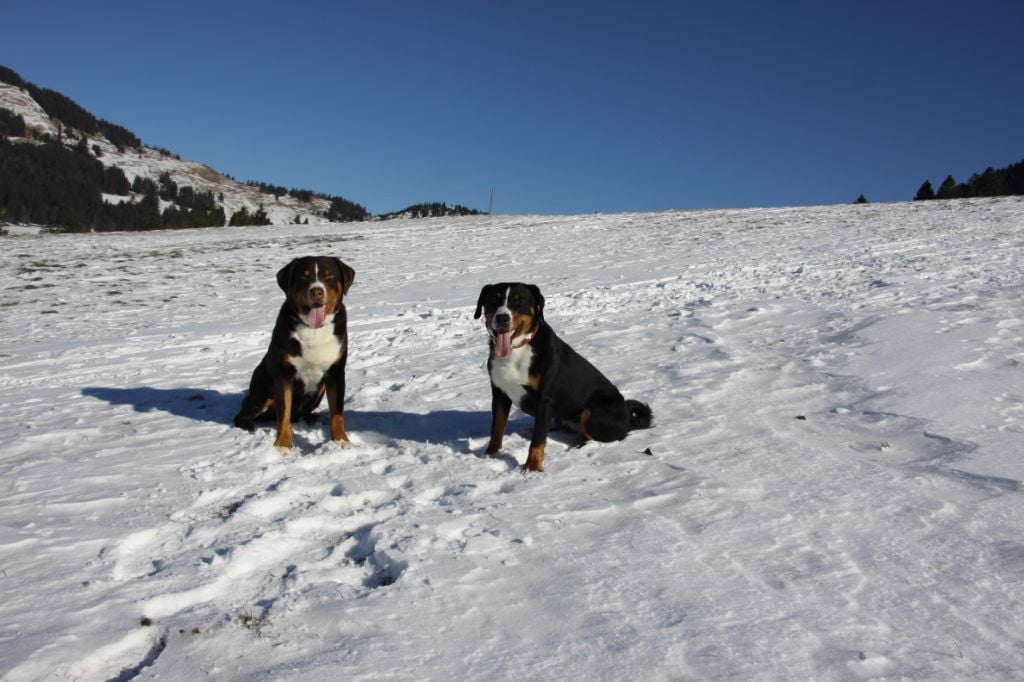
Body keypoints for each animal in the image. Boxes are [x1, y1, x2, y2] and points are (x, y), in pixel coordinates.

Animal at [234, 254, 356, 446]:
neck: (313, 330)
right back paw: (248, 425)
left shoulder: (336, 373)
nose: (316, 291)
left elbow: (337, 413)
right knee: (243, 414)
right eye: (304, 276)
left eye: (329, 275)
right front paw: (282, 445)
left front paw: (341, 441)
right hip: (262, 394)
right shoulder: (283, 376)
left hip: (319, 390)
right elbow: (283, 415)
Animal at [475, 280, 651, 466]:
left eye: (519, 301)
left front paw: (532, 467)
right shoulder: (499, 393)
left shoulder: (544, 399)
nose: (502, 318)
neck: (516, 350)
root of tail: (628, 419)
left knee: (596, 438)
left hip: (593, 411)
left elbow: (538, 439)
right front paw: (489, 454)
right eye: (494, 300)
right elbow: (497, 428)